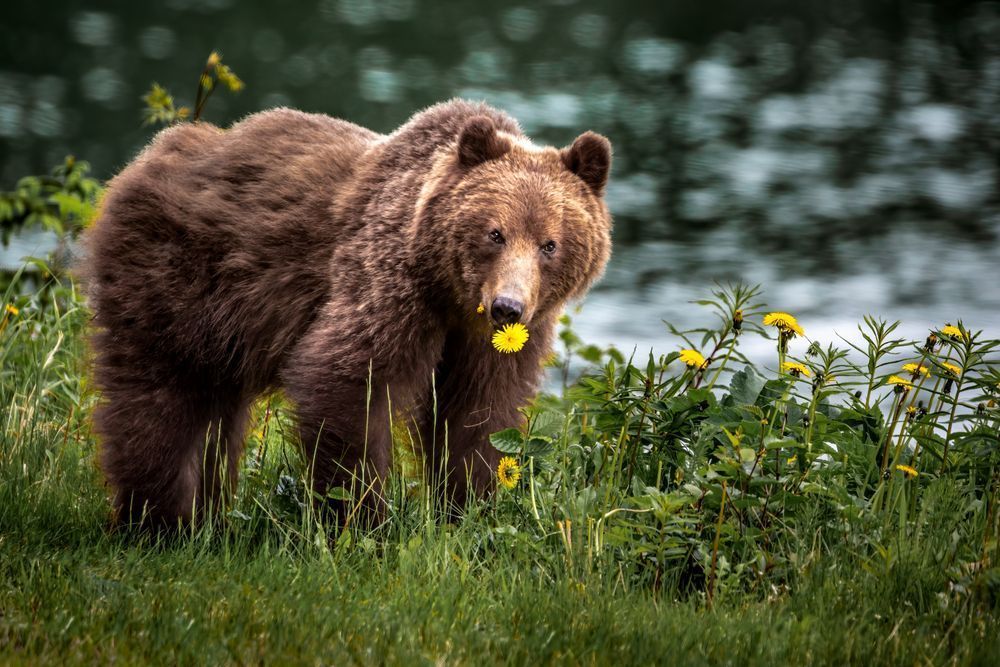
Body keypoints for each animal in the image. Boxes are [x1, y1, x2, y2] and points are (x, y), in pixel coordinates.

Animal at [83, 99, 612, 528]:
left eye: (550, 244)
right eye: (494, 233)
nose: (507, 307)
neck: (450, 295)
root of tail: (149, 156)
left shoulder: (494, 341)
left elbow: (479, 417)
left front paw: (465, 511)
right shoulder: (389, 283)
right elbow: (347, 380)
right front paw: (363, 521)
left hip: (222, 325)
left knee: (215, 415)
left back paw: (206, 517)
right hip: (170, 278)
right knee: (161, 403)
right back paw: (159, 521)